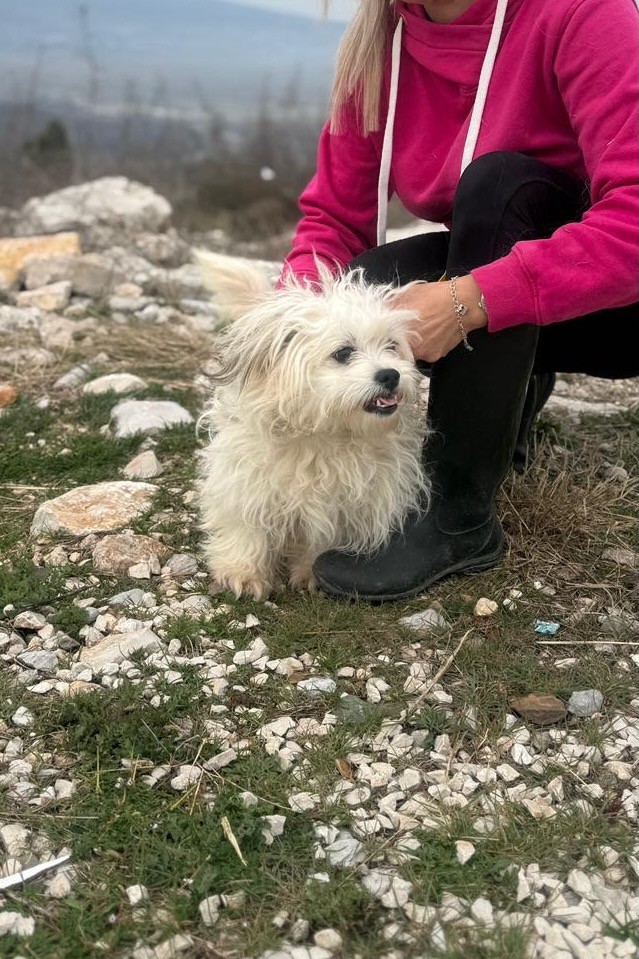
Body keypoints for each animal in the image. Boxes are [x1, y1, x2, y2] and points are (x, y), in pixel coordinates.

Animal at [194, 250, 429, 599]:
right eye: (344, 352)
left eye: (391, 346)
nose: (391, 374)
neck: (324, 434)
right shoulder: (246, 475)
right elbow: (246, 521)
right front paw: (243, 571)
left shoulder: (347, 499)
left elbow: (324, 534)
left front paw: (310, 571)